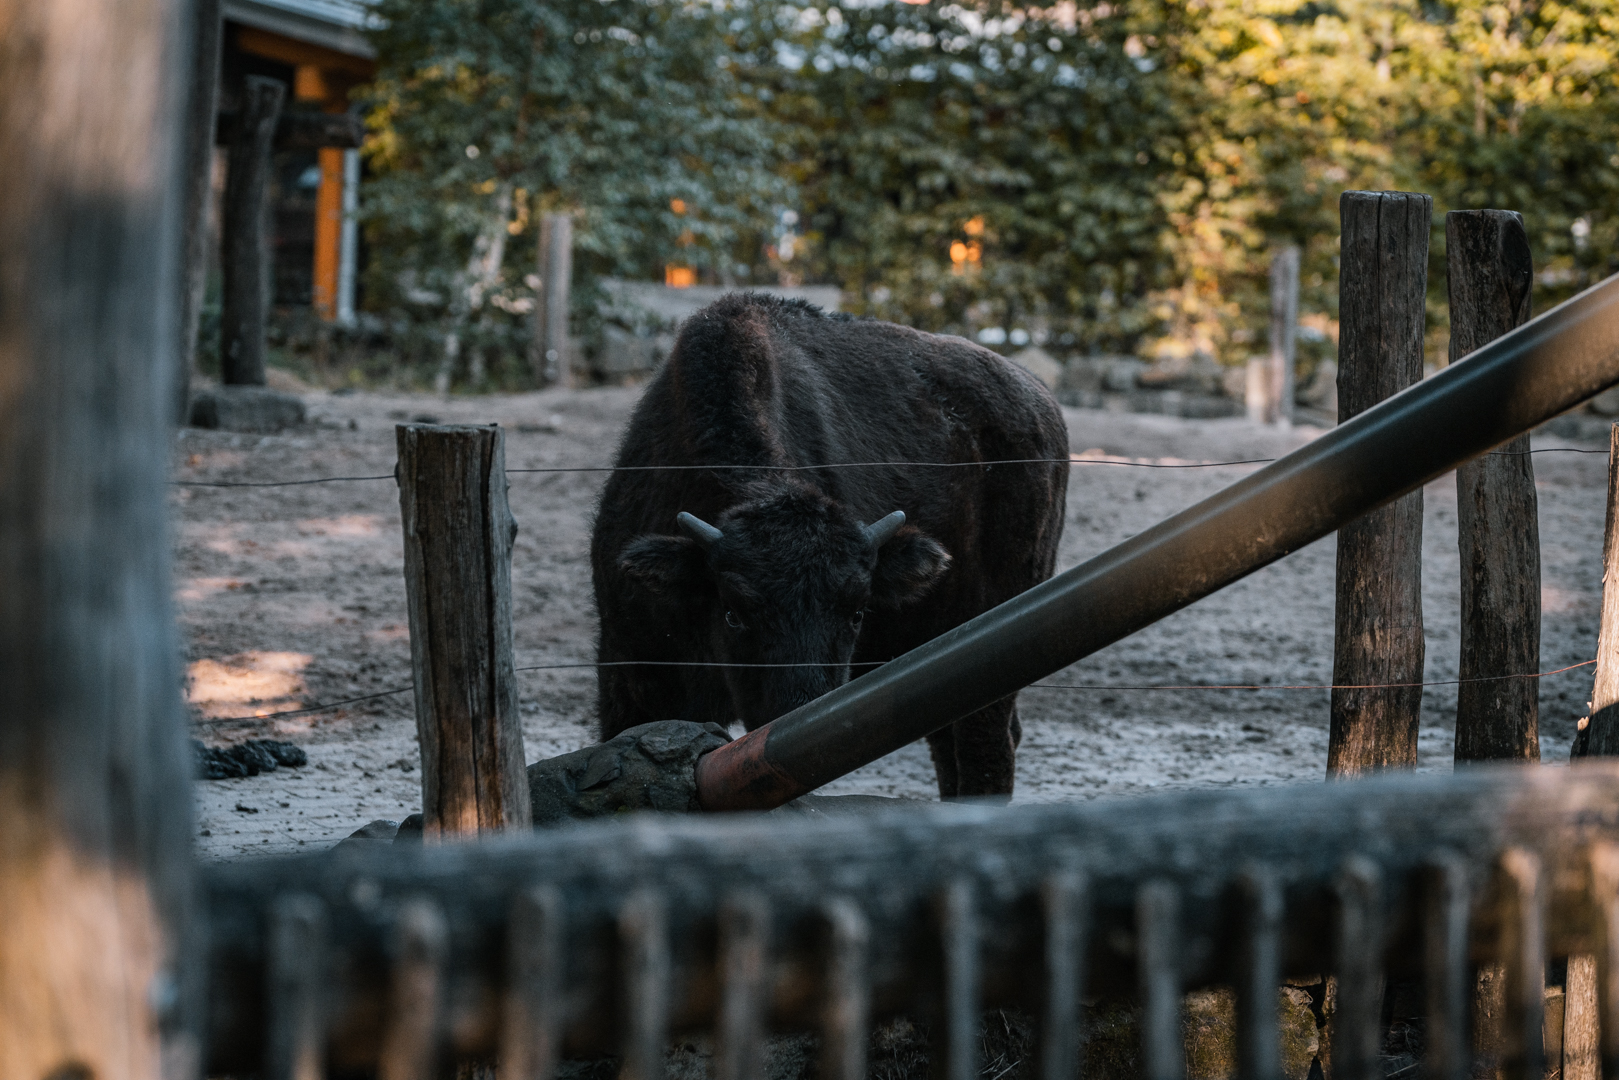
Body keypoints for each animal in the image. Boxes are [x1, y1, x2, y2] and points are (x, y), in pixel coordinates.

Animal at [591, 294, 1068, 799]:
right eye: (734, 612)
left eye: (857, 613)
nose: (798, 713)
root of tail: (1039, 397)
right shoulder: (630, 673)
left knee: (984, 745)